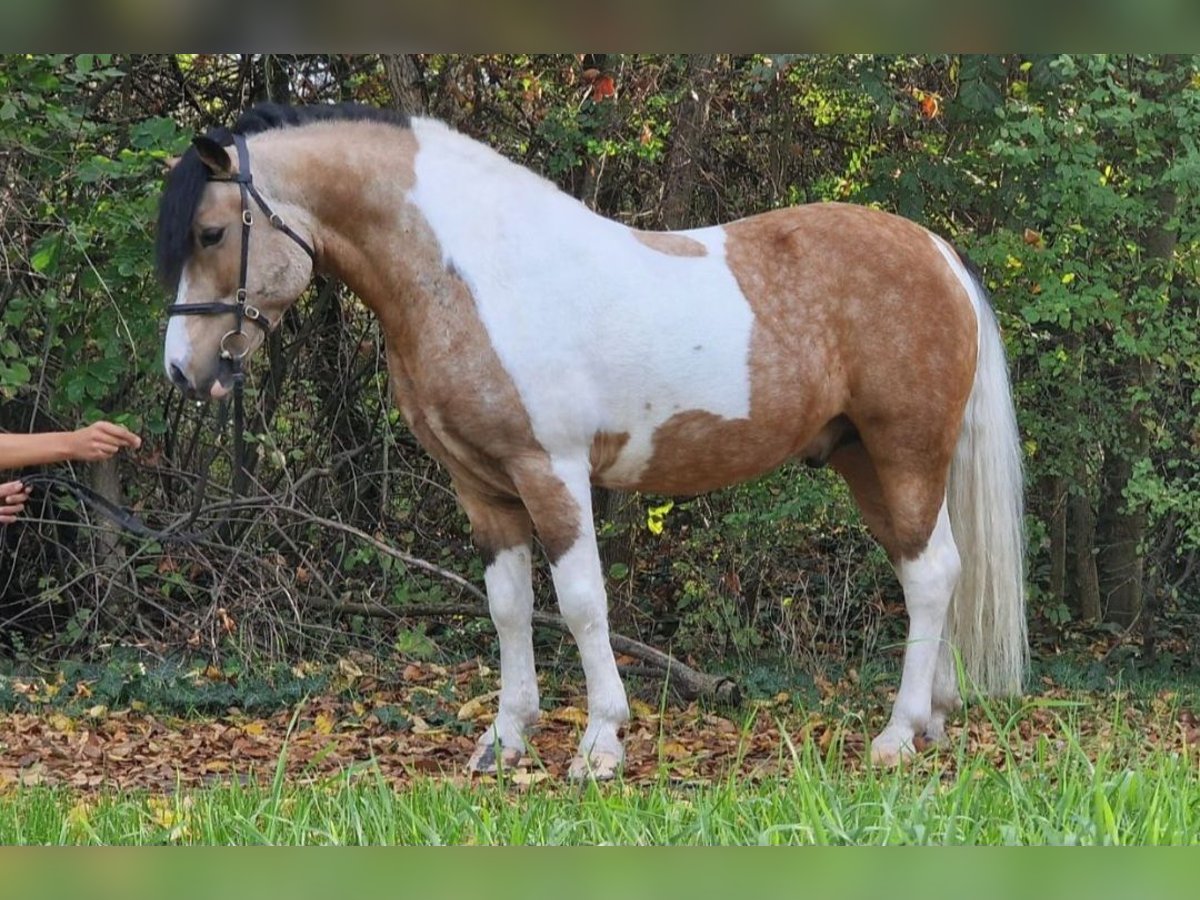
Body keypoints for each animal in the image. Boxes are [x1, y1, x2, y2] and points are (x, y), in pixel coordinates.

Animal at [154, 100, 1027, 782]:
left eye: (210, 233)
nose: (184, 372)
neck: (479, 273)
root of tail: (938, 253)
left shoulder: (553, 472)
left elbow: (579, 601)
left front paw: (601, 744)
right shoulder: (483, 487)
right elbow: (509, 607)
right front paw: (504, 741)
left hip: (904, 453)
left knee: (930, 576)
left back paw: (896, 736)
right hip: (865, 462)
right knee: (929, 571)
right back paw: (931, 721)